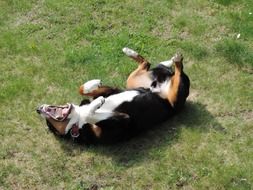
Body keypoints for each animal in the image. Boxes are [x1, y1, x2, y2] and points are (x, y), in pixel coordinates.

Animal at [36, 47, 189, 144]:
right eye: (50, 125)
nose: (37, 109)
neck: (77, 119)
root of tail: (164, 80)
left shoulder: (112, 91)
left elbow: (83, 90)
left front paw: (92, 84)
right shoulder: (123, 120)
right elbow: (90, 114)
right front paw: (96, 104)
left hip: (131, 81)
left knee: (147, 63)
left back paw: (131, 52)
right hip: (175, 100)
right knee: (178, 73)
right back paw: (176, 61)